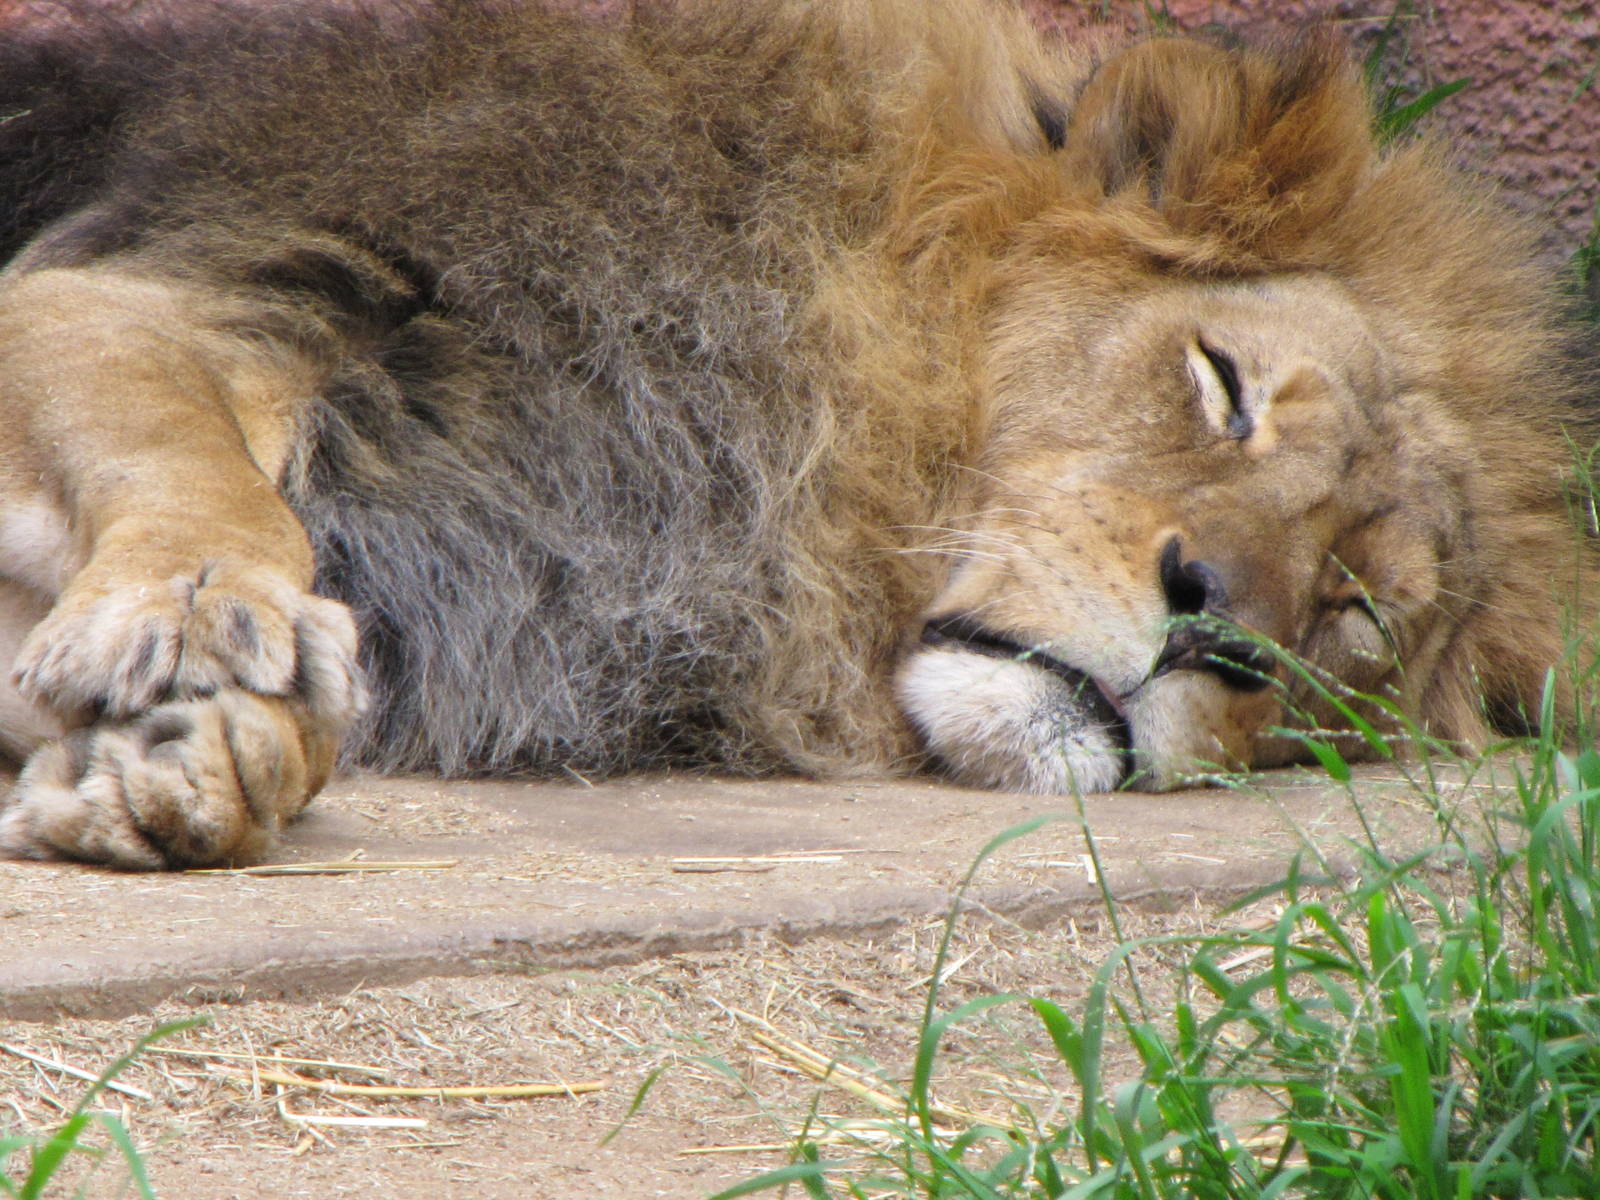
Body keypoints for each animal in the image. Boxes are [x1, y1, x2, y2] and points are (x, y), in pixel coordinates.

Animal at [0, 0, 1590, 870]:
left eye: (1358, 612)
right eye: (1224, 384)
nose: (1213, 626)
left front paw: (181, 754)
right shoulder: (199, 276)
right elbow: (198, 468)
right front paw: (195, 623)